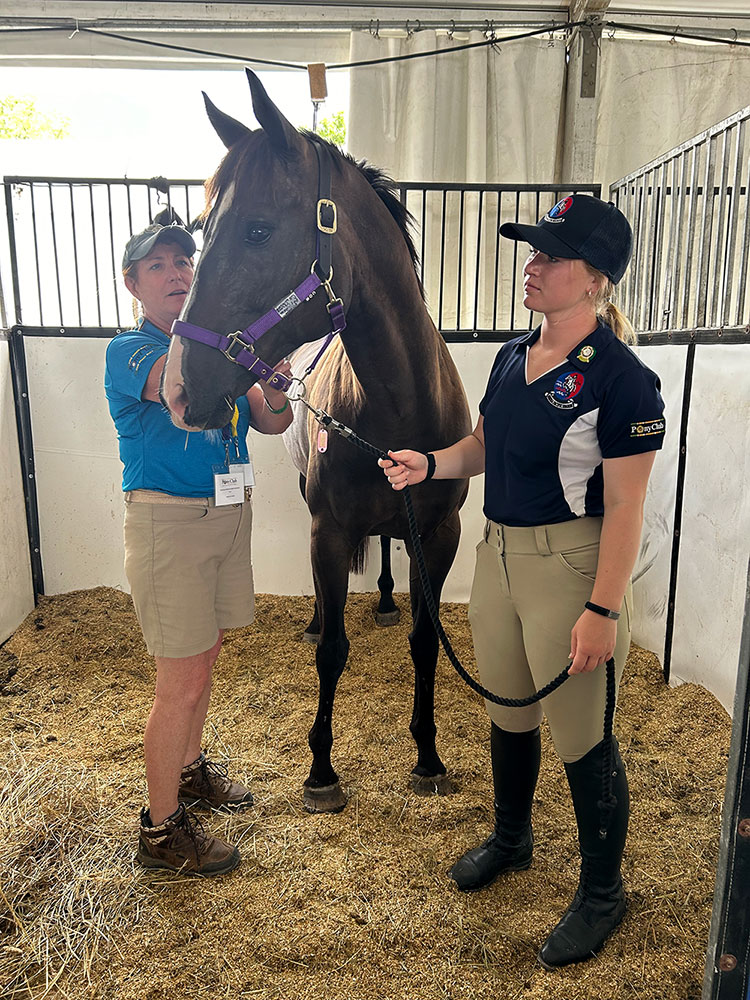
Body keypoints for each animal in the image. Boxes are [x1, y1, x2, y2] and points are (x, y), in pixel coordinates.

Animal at [164, 70, 470, 812]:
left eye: (257, 228)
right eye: (199, 229)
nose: (179, 391)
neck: (398, 408)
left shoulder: (439, 533)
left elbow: (426, 640)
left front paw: (428, 756)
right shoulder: (328, 530)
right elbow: (331, 650)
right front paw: (322, 771)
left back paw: (384, 599)